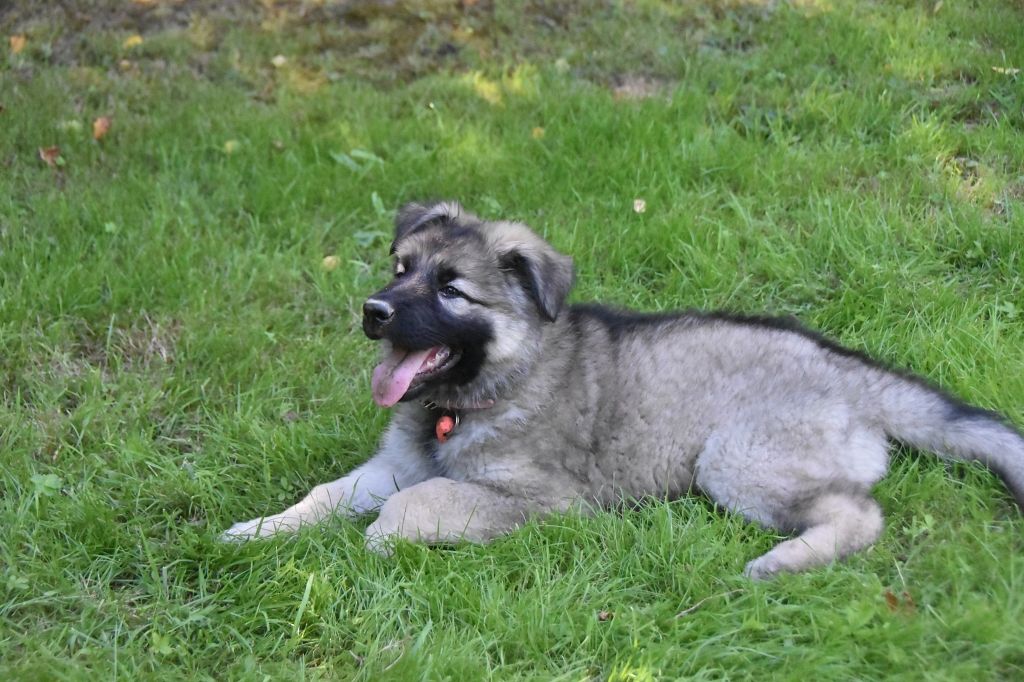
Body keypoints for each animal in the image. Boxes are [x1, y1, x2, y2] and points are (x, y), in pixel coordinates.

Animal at [222, 201, 1024, 578]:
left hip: (737, 457)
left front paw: (379, 541)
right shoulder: (396, 461)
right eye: (400, 268)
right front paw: (260, 532)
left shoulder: (545, 499)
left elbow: (419, 502)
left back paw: (784, 562)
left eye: (451, 290)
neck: (474, 396)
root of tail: (853, 373)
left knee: (859, 513)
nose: (373, 311)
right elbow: (328, 493)